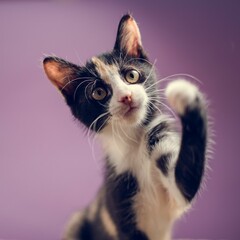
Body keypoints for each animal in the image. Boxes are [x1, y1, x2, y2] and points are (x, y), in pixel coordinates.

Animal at [43, 14, 208, 240]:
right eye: (99, 93)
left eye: (132, 75)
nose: (126, 96)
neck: (134, 143)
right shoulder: (120, 203)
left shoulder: (168, 161)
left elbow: (185, 182)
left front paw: (187, 96)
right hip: (75, 225)